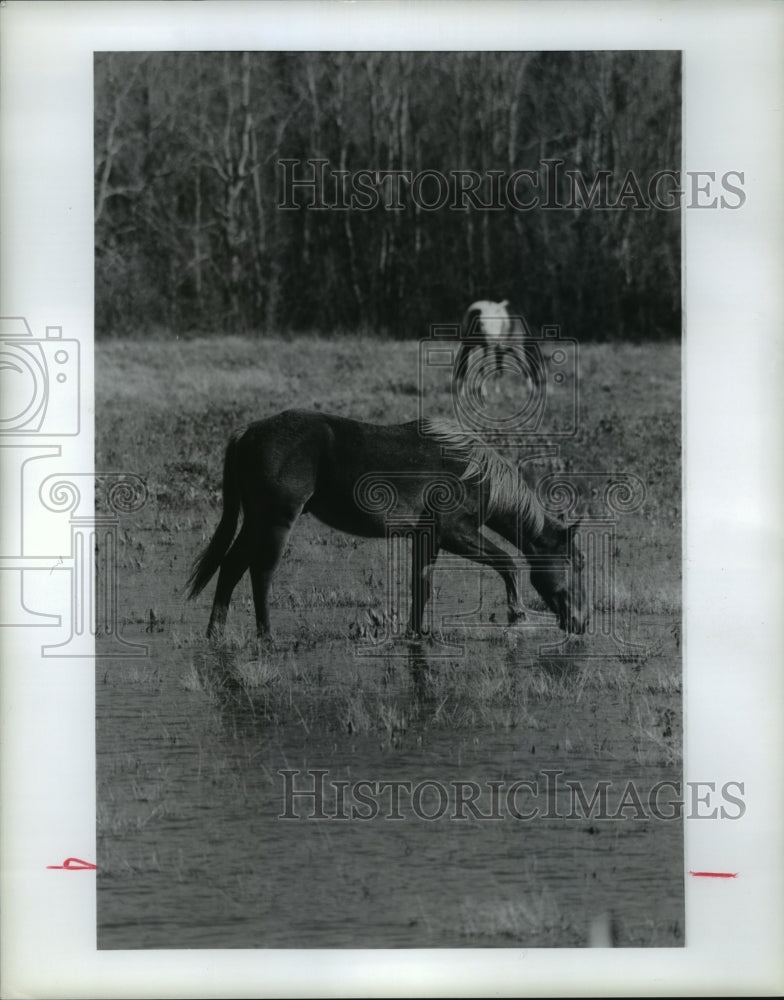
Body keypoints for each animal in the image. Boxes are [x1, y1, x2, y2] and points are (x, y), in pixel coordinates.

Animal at [187, 410, 588, 640]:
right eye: (578, 563)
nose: (581, 622)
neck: (475, 472)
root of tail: (247, 432)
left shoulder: (428, 539)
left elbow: (420, 585)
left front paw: (417, 632)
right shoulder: (455, 534)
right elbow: (508, 562)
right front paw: (517, 614)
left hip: (256, 521)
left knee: (231, 567)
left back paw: (215, 633)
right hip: (274, 522)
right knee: (260, 573)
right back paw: (266, 635)